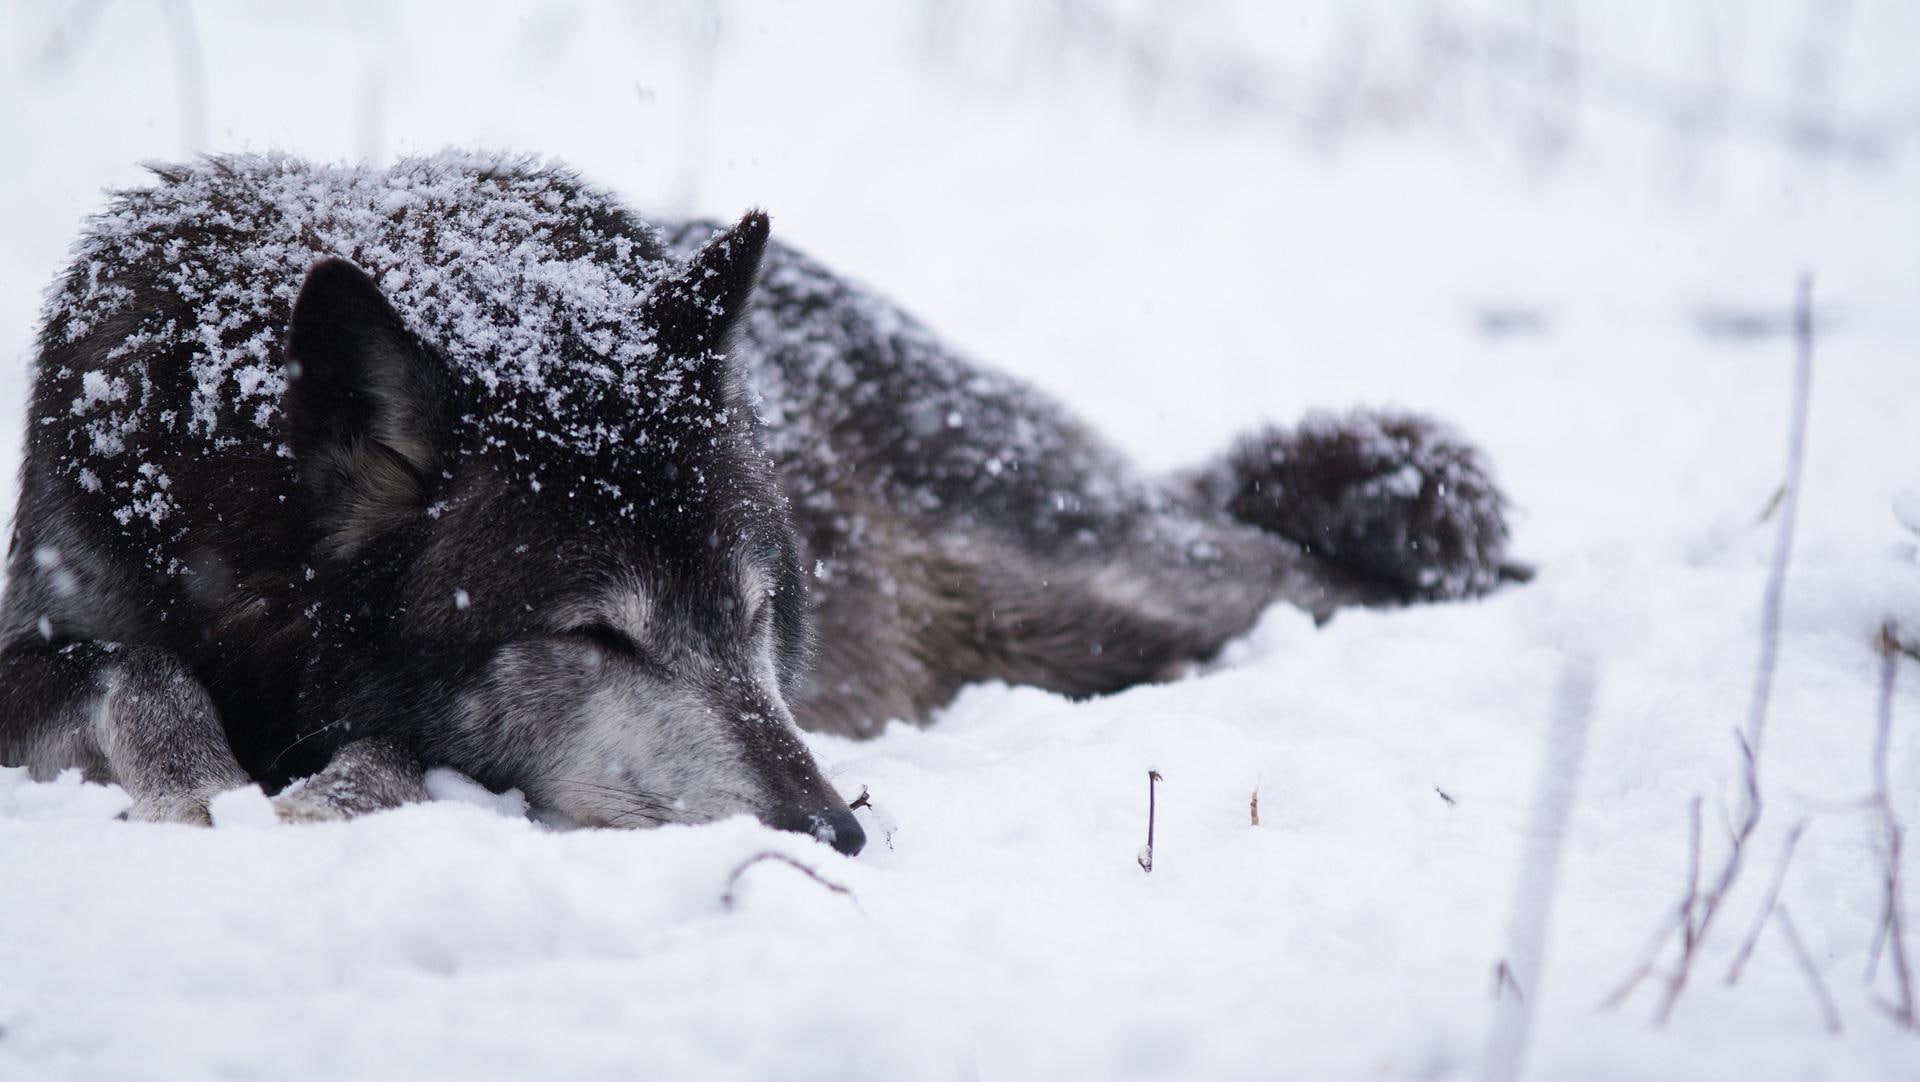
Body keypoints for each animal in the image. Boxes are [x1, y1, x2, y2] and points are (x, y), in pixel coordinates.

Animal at [0, 153, 1518, 854]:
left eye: (752, 615)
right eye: (597, 635)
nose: (837, 833)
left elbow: (379, 746)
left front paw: (318, 793)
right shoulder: (56, 615)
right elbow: (130, 663)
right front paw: (207, 781)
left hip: (1103, 583)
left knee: (1312, 574)